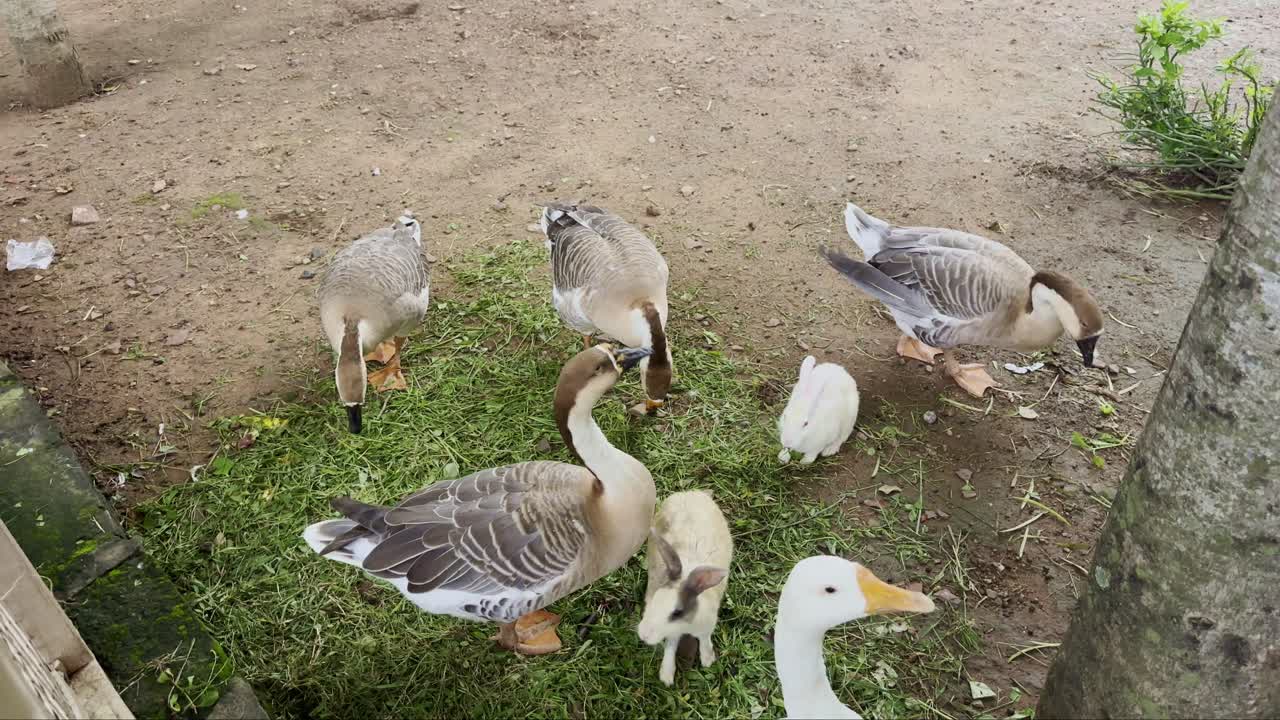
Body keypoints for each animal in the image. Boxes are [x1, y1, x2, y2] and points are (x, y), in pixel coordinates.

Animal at [636, 490, 733, 686]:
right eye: (654, 600)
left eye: (677, 613)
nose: (644, 636)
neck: (687, 624)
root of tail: (691, 493)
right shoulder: (673, 634)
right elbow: (671, 646)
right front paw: (666, 676)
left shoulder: (706, 627)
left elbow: (704, 639)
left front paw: (707, 659)